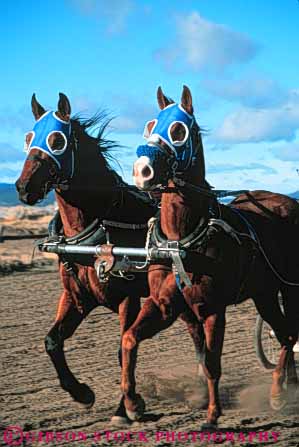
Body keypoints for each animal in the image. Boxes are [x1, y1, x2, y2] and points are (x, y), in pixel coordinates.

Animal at [15, 93, 205, 424]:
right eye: (29, 138)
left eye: (56, 140)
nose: (24, 188)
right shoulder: (77, 297)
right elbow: (52, 341)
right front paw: (81, 393)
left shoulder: (128, 299)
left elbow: (122, 348)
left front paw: (124, 408)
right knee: (195, 329)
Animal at [121, 86, 299, 428]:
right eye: (150, 125)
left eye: (178, 130)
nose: (141, 171)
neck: (181, 240)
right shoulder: (167, 307)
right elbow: (131, 339)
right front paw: (133, 404)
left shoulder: (212, 309)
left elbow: (213, 362)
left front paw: (213, 414)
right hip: (265, 293)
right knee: (285, 331)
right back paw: (286, 388)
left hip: (290, 288)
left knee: (289, 333)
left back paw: (278, 393)